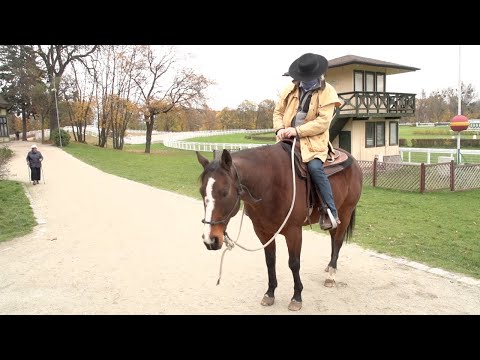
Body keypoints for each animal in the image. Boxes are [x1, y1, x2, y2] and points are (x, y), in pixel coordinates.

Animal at [197, 142, 362, 310]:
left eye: (224, 192)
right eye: (201, 191)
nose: (210, 240)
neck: (269, 183)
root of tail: (353, 160)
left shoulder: (294, 232)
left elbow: (294, 263)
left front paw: (296, 297)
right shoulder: (263, 232)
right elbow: (270, 261)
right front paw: (270, 293)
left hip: (345, 212)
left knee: (338, 241)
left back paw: (331, 275)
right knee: (333, 238)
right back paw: (329, 266)